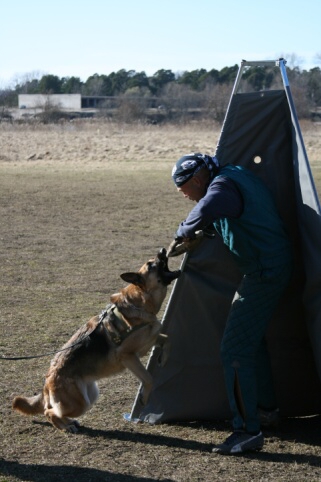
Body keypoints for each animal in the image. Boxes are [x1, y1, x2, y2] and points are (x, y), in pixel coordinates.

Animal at [12, 249, 179, 434]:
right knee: (49, 411)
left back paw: (70, 422)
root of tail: (47, 379)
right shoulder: (128, 355)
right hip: (78, 403)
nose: (163, 250)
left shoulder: (150, 340)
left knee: (56, 411)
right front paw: (144, 397)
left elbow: (168, 340)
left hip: (90, 396)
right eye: (151, 265)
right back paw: (65, 426)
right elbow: (148, 378)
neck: (141, 301)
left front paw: (163, 358)